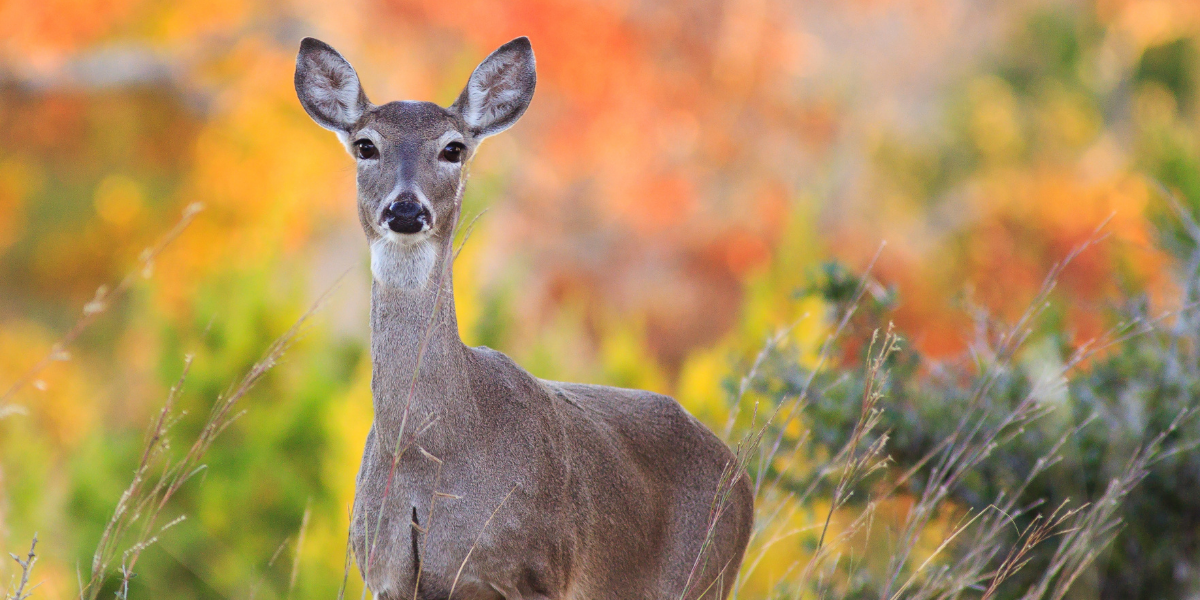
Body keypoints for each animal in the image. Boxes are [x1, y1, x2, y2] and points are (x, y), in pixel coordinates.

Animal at [292, 36, 748, 595]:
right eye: (365, 145)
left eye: (454, 148)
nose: (405, 210)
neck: (431, 453)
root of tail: (742, 479)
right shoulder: (384, 573)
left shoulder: (536, 568)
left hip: (706, 574)